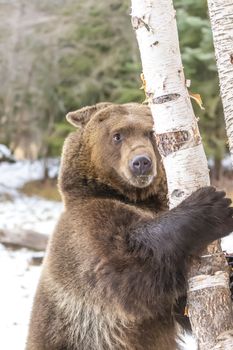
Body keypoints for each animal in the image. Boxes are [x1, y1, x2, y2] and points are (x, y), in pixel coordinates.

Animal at [26, 102, 233, 348]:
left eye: (150, 133)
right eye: (118, 135)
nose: (141, 162)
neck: (132, 196)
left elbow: (182, 308)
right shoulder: (86, 234)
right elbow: (130, 265)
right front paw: (213, 205)